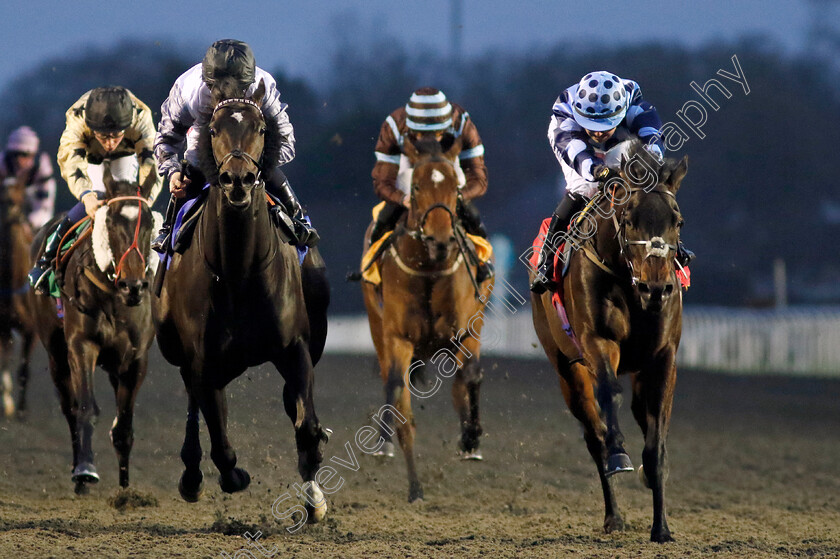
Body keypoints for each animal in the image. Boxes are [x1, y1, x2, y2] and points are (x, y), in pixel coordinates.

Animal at [27, 163, 159, 494]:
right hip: (56, 354)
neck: (114, 297)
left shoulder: (135, 358)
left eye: (150, 222)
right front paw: (86, 470)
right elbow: (86, 409)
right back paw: (79, 474)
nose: (133, 286)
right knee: (70, 408)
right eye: (110, 222)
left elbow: (123, 424)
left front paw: (126, 489)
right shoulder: (81, 346)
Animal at [154, 80, 332, 520]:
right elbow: (219, 439)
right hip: (178, 349)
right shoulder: (203, 359)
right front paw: (232, 475)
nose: (238, 179)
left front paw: (315, 500)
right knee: (194, 402)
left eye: (261, 128)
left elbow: (306, 425)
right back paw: (192, 475)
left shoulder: (296, 347)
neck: (238, 272)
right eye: (214, 129)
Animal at [360, 137, 492, 504]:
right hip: (377, 326)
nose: (440, 239)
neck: (431, 268)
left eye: (455, 186)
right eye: (416, 186)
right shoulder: (398, 338)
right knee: (391, 384)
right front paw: (414, 485)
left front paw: (471, 437)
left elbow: (469, 376)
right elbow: (398, 396)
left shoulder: (465, 330)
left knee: (464, 380)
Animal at [536, 144, 684, 544]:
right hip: (566, 369)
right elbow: (609, 399)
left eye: (676, 220)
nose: (656, 288)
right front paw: (619, 454)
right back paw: (613, 516)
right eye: (629, 218)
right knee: (593, 434)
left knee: (638, 412)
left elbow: (657, 436)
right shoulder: (597, 342)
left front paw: (661, 528)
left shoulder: (662, 356)